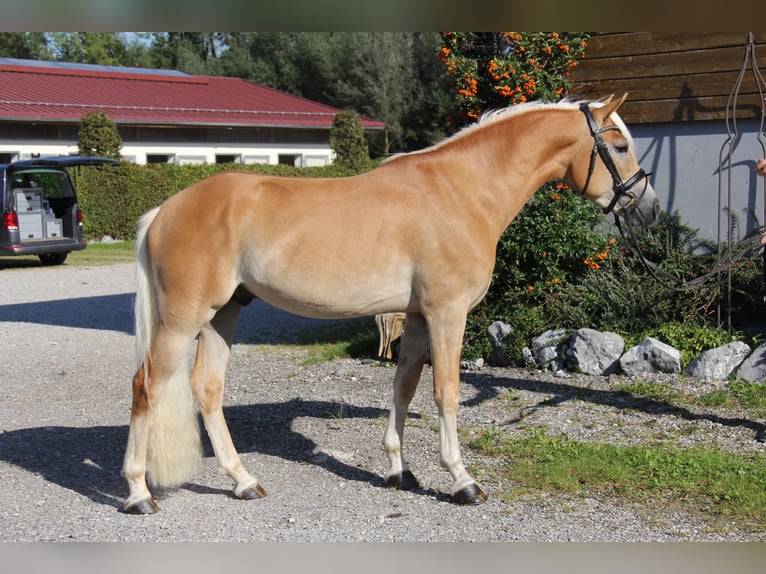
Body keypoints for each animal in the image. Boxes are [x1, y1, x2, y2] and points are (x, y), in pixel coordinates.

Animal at [120, 92, 660, 516]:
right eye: (618, 146)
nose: (649, 209)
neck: (463, 191)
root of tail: (163, 210)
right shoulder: (447, 315)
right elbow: (446, 393)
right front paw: (462, 481)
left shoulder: (417, 318)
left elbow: (403, 388)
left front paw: (400, 471)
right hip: (182, 320)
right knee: (146, 386)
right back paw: (138, 493)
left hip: (223, 315)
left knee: (207, 390)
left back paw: (244, 482)